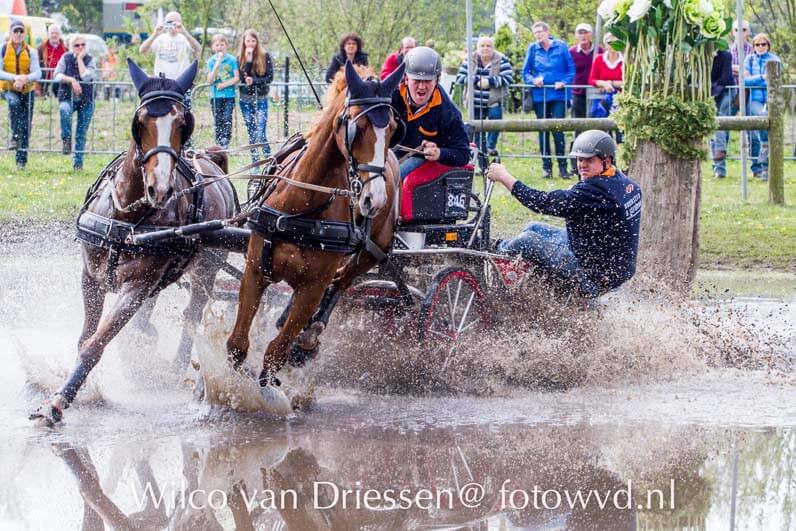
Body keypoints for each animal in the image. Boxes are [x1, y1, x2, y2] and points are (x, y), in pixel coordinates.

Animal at [29, 59, 239, 426]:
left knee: (192, 314)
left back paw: (177, 366)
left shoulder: (137, 287)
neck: (127, 217)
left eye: (183, 123)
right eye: (140, 122)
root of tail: (213, 160)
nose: (160, 188)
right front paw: (80, 387)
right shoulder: (91, 277)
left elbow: (96, 343)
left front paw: (58, 401)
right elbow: (85, 337)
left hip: (205, 269)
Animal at [226, 61, 406, 402]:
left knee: (342, 282)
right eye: (356, 125)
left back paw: (309, 336)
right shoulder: (255, 270)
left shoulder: (313, 287)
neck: (301, 207)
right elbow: (237, 345)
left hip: (371, 251)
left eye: (391, 128)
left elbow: (276, 351)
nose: (374, 200)